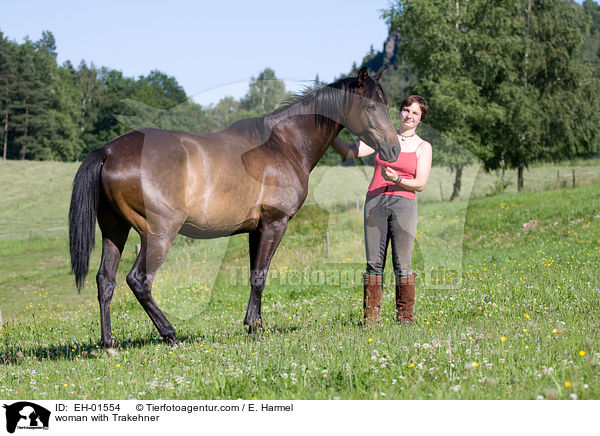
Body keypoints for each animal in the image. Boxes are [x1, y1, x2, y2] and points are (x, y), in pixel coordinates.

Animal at [69, 64, 398, 346]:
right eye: (371, 106)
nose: (393, 148)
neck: (284, 144)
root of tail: (109, 150)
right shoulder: (274, 224)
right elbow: (259, 276)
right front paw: (254, 328)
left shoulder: (256, 230)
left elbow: (255, 275)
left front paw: (255, 324)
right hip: (158, 234)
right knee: (138, 280)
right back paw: (169, 333)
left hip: (115, 230)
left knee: (105, 281)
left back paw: (108, 344)